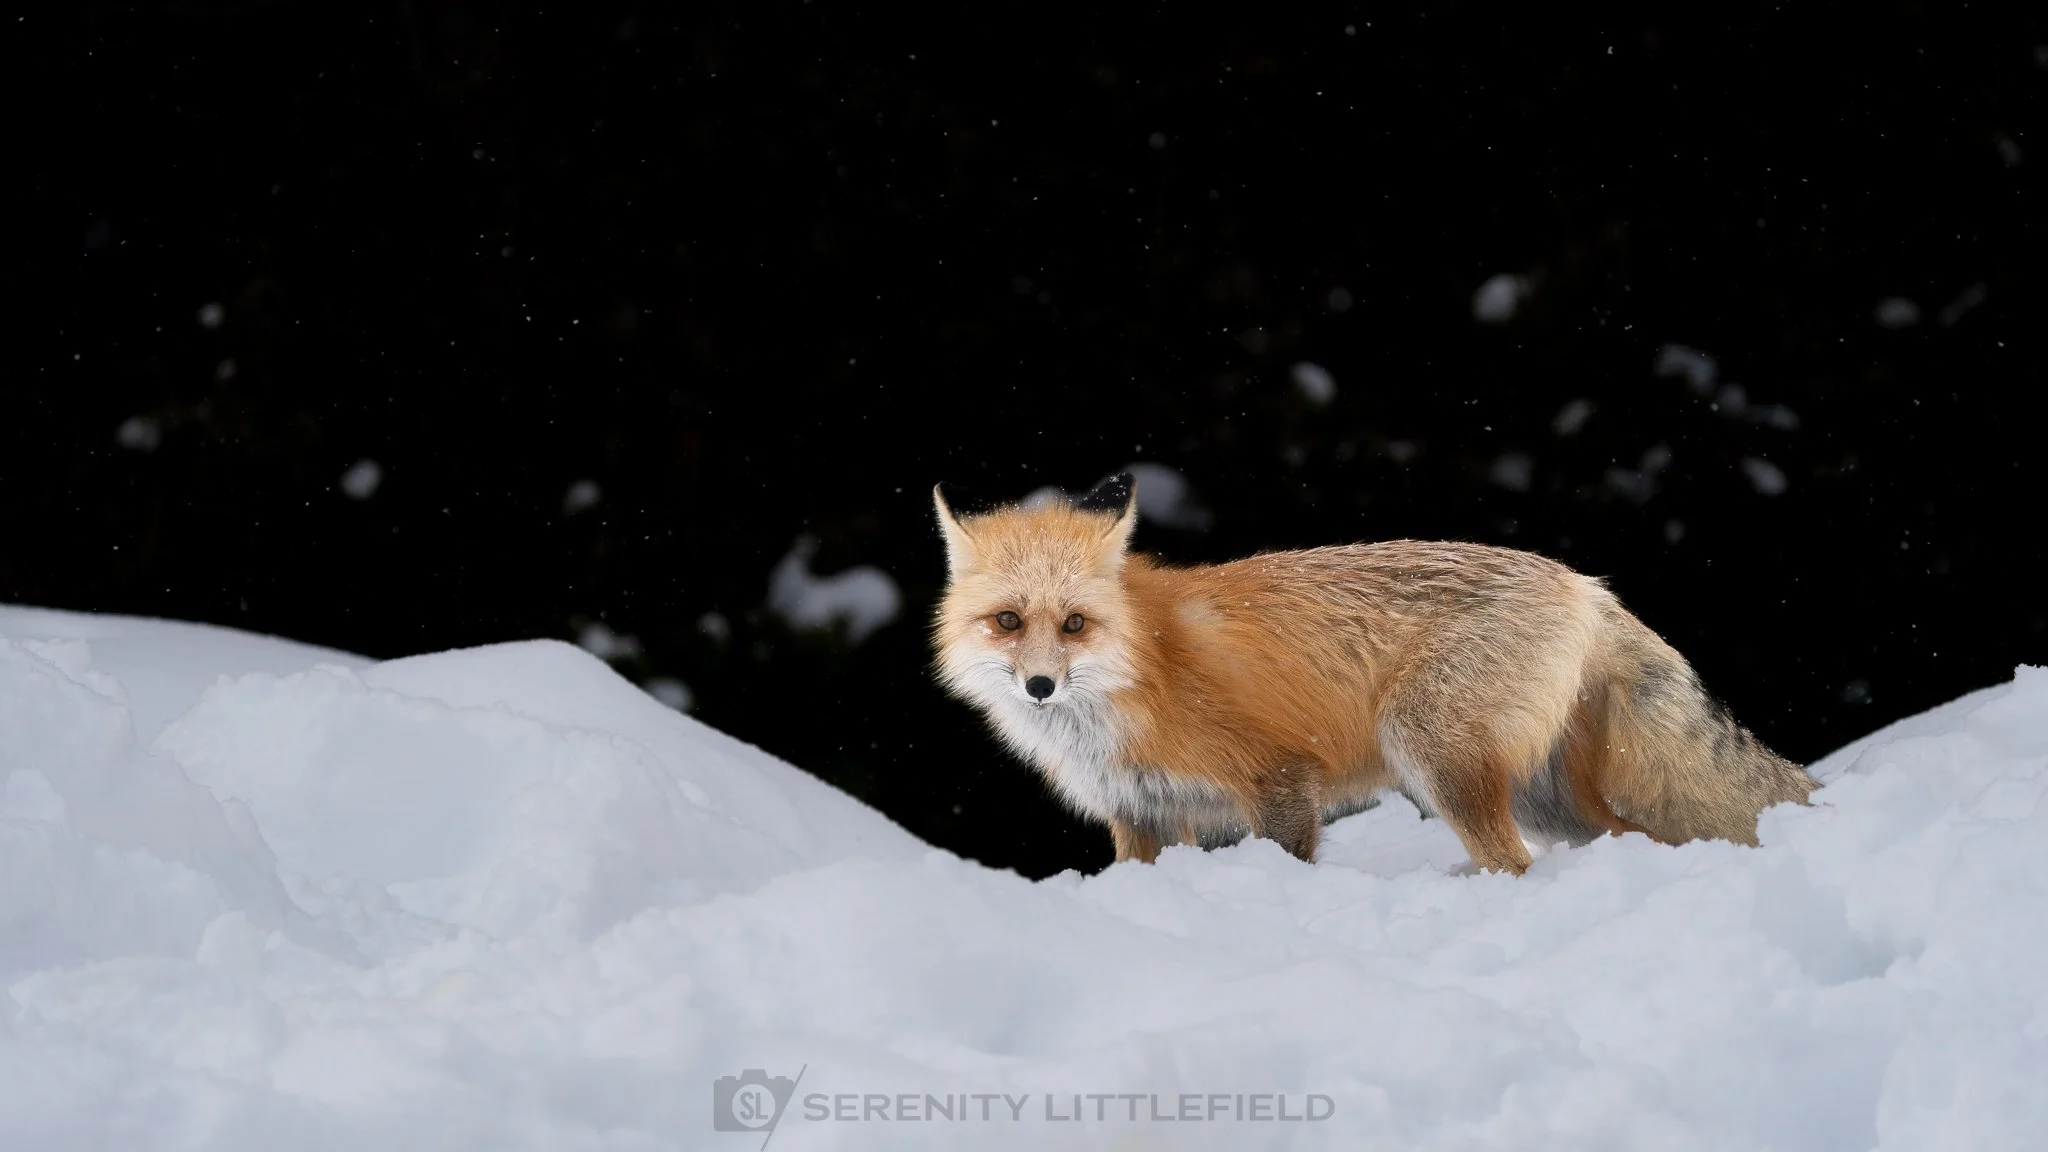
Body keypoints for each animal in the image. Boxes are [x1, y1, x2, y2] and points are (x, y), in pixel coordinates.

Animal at [930, 472, 1817, 875]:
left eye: (1074, 625)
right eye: (1008, 623)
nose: (1040, 686)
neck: (1141, 667)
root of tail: (1584, 584)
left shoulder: (1278, 776)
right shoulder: (1140, 814)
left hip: (1430, 748)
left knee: (1513, 862)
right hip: (1551, 799)